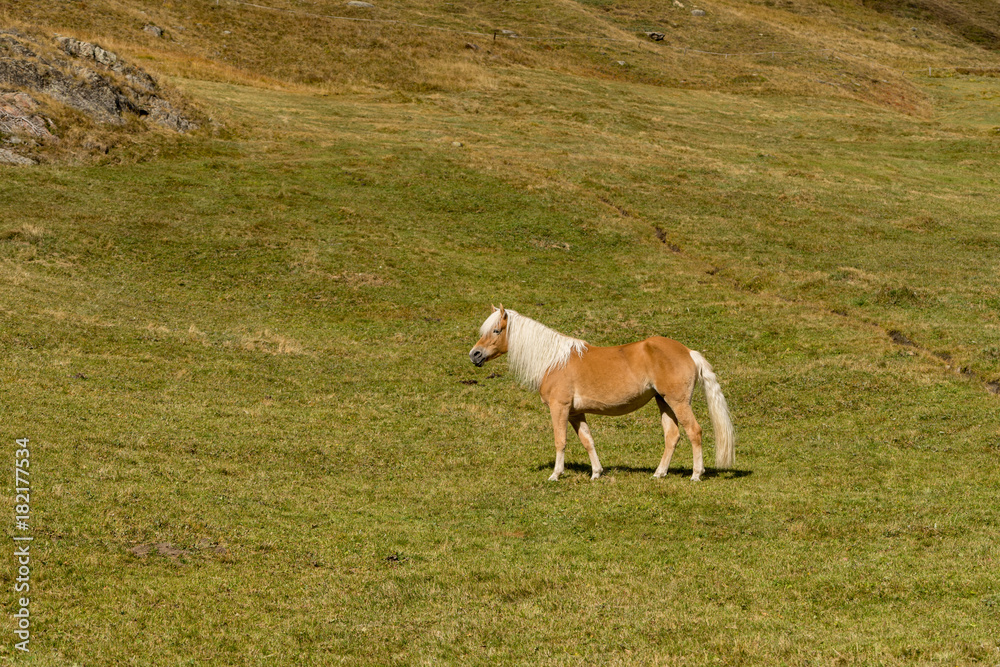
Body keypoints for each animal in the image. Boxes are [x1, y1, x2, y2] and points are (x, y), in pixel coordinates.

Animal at [469, 305, 735, 482]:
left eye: (496, 330)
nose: (475, 354)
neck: (553, 361)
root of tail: (688, 352)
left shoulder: (559, 407)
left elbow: (560, 441)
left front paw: (556, 474)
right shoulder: (576, 413)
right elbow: (587, 440)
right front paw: (596, 473)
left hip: (678, 402)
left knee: (694, 432)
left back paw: (696, 474)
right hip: (664, 402)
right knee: (672, 435)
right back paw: (659, 473)